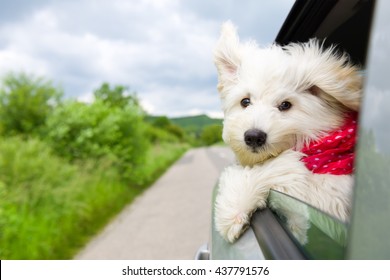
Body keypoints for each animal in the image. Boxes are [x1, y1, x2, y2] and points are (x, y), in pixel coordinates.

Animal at [215, 21, 362, 243]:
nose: (253, 137)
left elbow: (284, 169)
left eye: (285, 105)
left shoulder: (334, 200)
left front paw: (232, 208)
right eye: (245, 101)